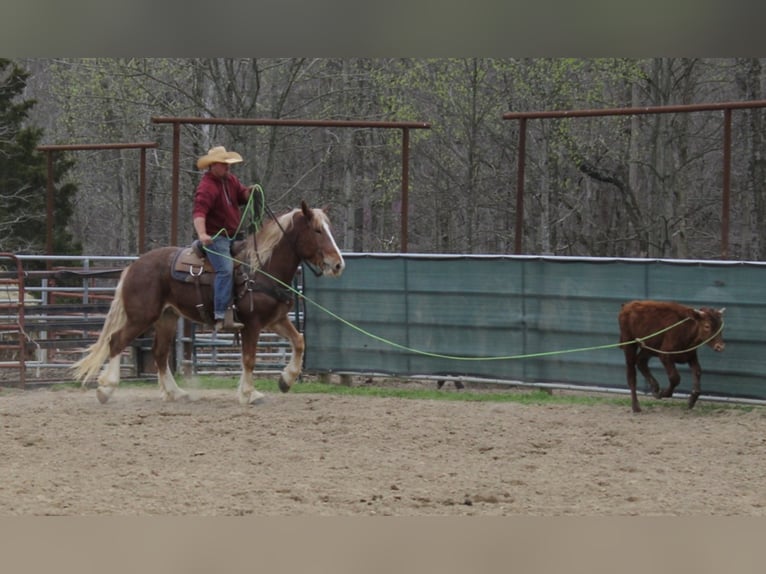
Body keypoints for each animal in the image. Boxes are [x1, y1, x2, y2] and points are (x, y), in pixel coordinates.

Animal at [70, 202, 346, 404]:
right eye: (317, 230)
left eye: (330, 229)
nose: (338, 264)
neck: (260, 269)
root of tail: (134, 266)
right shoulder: (252, 323)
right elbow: (249, 358)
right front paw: (249, 394)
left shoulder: (275, 320)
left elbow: (299, 341)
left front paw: (285, 380)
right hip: (142, 317)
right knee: (117, 341)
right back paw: (106, 389)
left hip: (167, 317)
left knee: (159, 353)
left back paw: (175, 392)